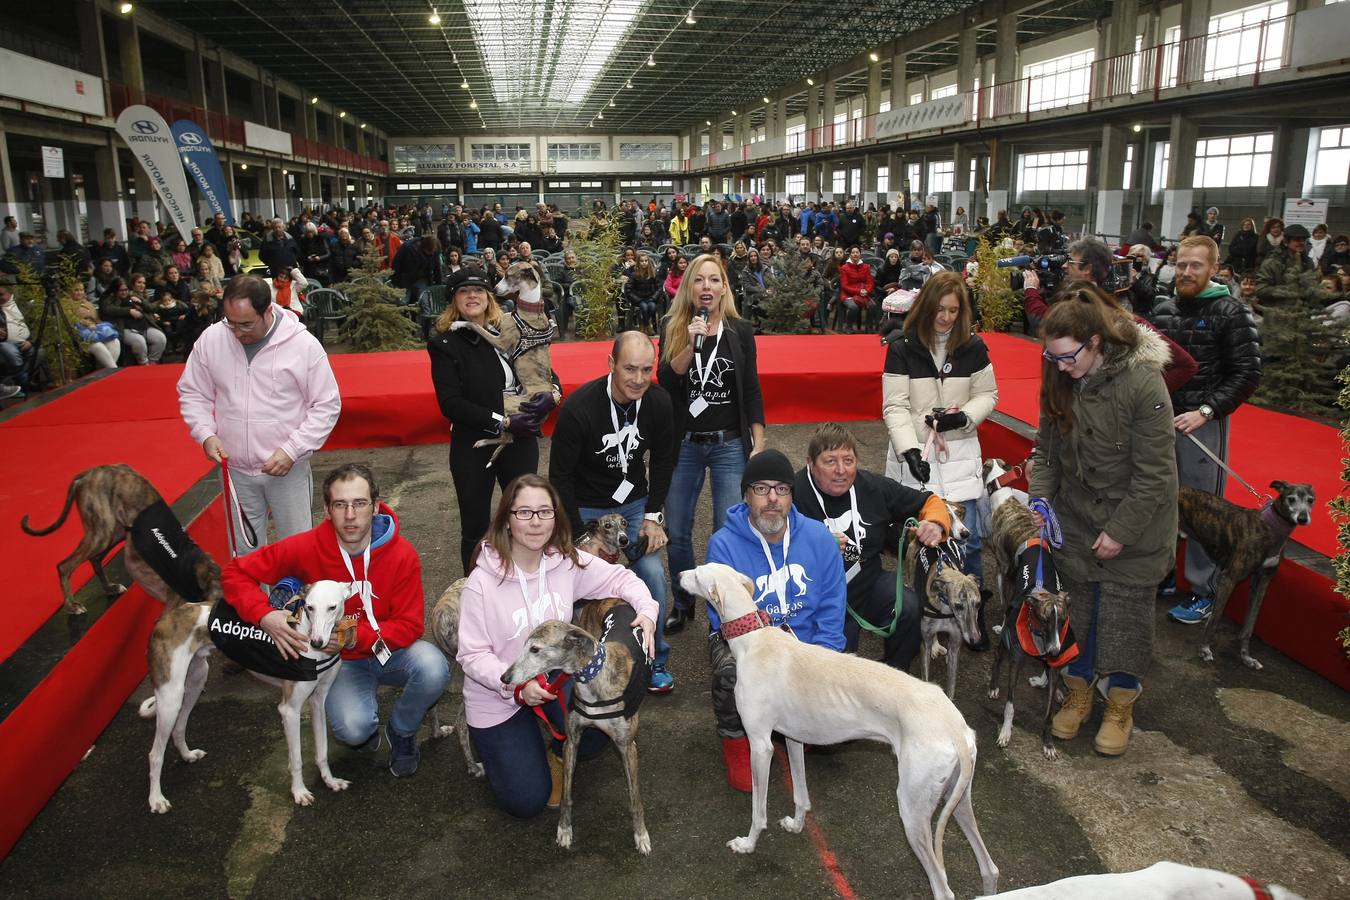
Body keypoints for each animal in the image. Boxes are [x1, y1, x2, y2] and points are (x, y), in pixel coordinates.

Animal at [21, 461, 224, 615]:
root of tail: (86, 475)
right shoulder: (173, 605)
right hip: (102, 532)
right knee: (64, 566)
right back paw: (72, 606)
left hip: (116, 532)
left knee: (95, 559)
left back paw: (110, 588)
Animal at [504, 599, 656, 858]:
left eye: (535, 649)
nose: (504, 678)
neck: (594, 677)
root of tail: (611, 599)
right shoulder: (572, 740)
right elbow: (567, 794)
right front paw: (564, 829)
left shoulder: (627, 746)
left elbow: (635, 798)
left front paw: (641, 835)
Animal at [680, 564, 999, 900]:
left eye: (698, 574)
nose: (679, 575)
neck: (754, 640)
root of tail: (955, 726)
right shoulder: (793, 739)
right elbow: (801, 794)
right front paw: (796, 825)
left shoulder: (760, 745)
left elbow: (759, 810)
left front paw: (747, 843)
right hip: (957, 797)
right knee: (990, 868)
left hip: (913, 808)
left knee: (943, 887)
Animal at [982, 499, 1074, 761]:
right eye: (1044, 619)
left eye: (1063, 621)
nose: (1054, 651)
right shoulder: (1016, 661)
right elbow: (1010, 705)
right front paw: (1005, 732)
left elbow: (1048, 714)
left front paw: (1048, 743)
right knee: (998, 659)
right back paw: (994, 686)